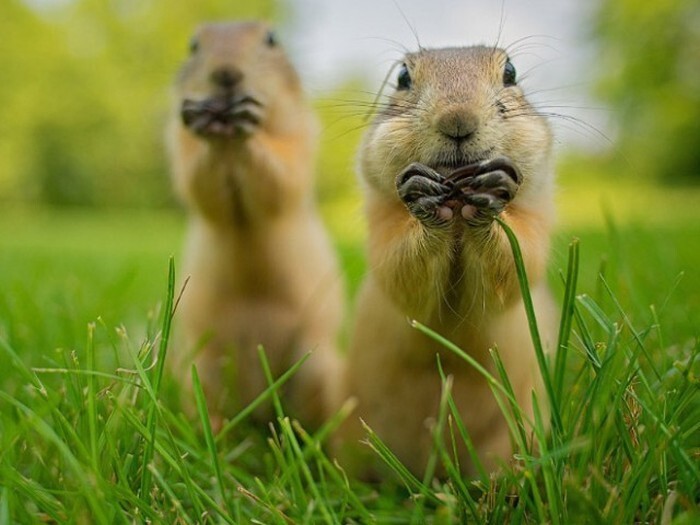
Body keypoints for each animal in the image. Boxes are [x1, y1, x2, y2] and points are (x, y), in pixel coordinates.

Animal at [170, 21, 344, 430]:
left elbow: (282, 176)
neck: (228, 143)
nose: (226, 73)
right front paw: (201, 120)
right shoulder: (180, 145)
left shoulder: (300, 137)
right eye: (193, 45)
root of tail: (259, 407)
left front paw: (249, 123)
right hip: (198, 368)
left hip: (318, 365)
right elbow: (198, 182)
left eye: (271, 39)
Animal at [336, 43, 560, 472]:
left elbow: (518, 261)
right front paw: (423, 195)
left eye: (510, 72)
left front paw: (491, 192)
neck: (457, 221)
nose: (458, 119)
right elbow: (399, 271)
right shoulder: (382, 224)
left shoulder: (536, 217)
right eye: (402, 77)